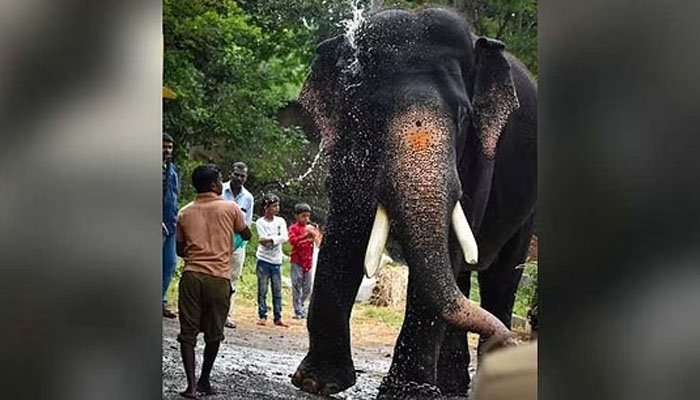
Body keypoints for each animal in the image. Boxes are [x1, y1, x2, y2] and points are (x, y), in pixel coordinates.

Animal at [290, 7, 537, 399]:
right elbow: (346, 232)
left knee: (501, 275)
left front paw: (406, 391)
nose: (509, 338)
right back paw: (452, 385)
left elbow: (449, 245)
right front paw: (317, 382)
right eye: (371, 113)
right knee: (463, 276)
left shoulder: (479, 157)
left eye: (463, 116)